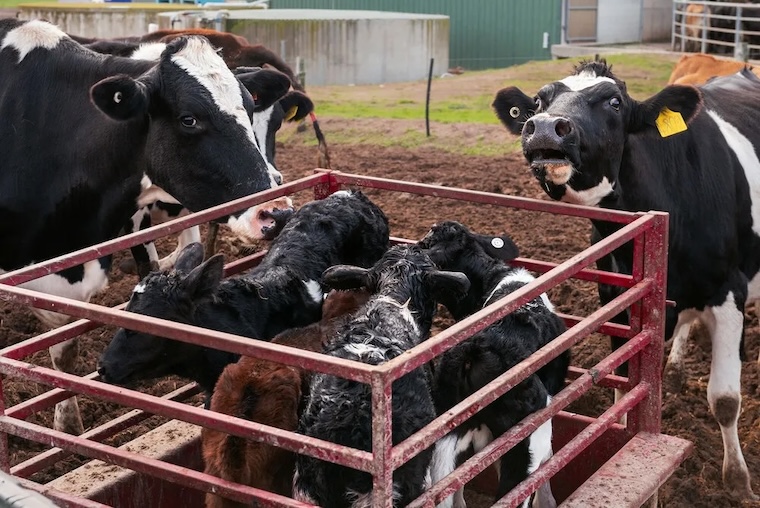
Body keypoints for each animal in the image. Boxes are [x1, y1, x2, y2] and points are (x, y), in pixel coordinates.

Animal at [492, 59, 760, 500]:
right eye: (539, 101)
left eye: (614, 102)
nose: (545, 127)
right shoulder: (616, 291)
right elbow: (622, 379)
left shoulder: (729, 291)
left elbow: (724, 399)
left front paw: (738, 482)